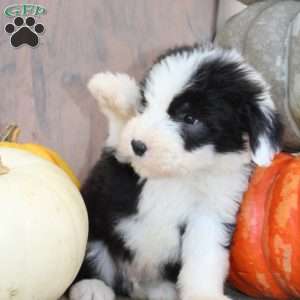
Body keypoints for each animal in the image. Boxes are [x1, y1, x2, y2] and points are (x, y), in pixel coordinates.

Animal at [67, 44, 282, 300]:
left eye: (190, 118)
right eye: (146, 105)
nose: (138, 145)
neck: (181, 173)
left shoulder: (211, 212)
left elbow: (205, 257)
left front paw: (204, 294)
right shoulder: (119, 156)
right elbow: (122, 128)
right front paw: (112, 89)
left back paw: (160, 290)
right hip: (95, 230)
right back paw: (91, 287)